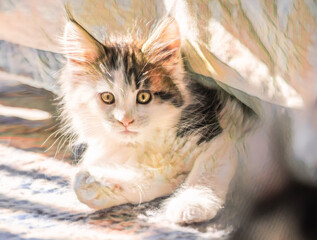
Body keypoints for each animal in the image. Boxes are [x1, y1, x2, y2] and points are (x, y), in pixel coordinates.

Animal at [58, 15, 252, 224]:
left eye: (144, 97)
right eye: (107, 97)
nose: (125, 121)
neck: (150, 140)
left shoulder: (221, 137)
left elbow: (204, 172)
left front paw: (191, 203)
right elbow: (154, 179)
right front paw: (96, 185)